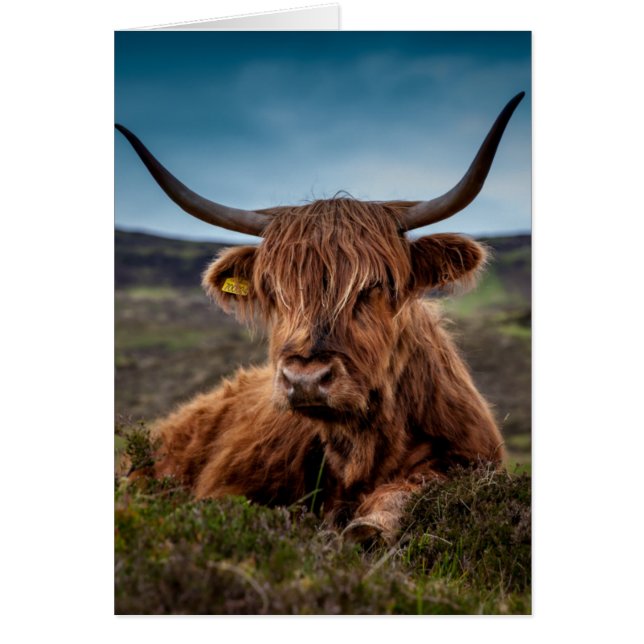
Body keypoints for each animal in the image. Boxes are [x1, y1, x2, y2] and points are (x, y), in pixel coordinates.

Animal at [115, 92, 525, 544]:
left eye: (375, 285)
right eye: (274, 290)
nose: (305, 379)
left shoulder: (469, 460)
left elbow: (412, 490)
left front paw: (368, 525)